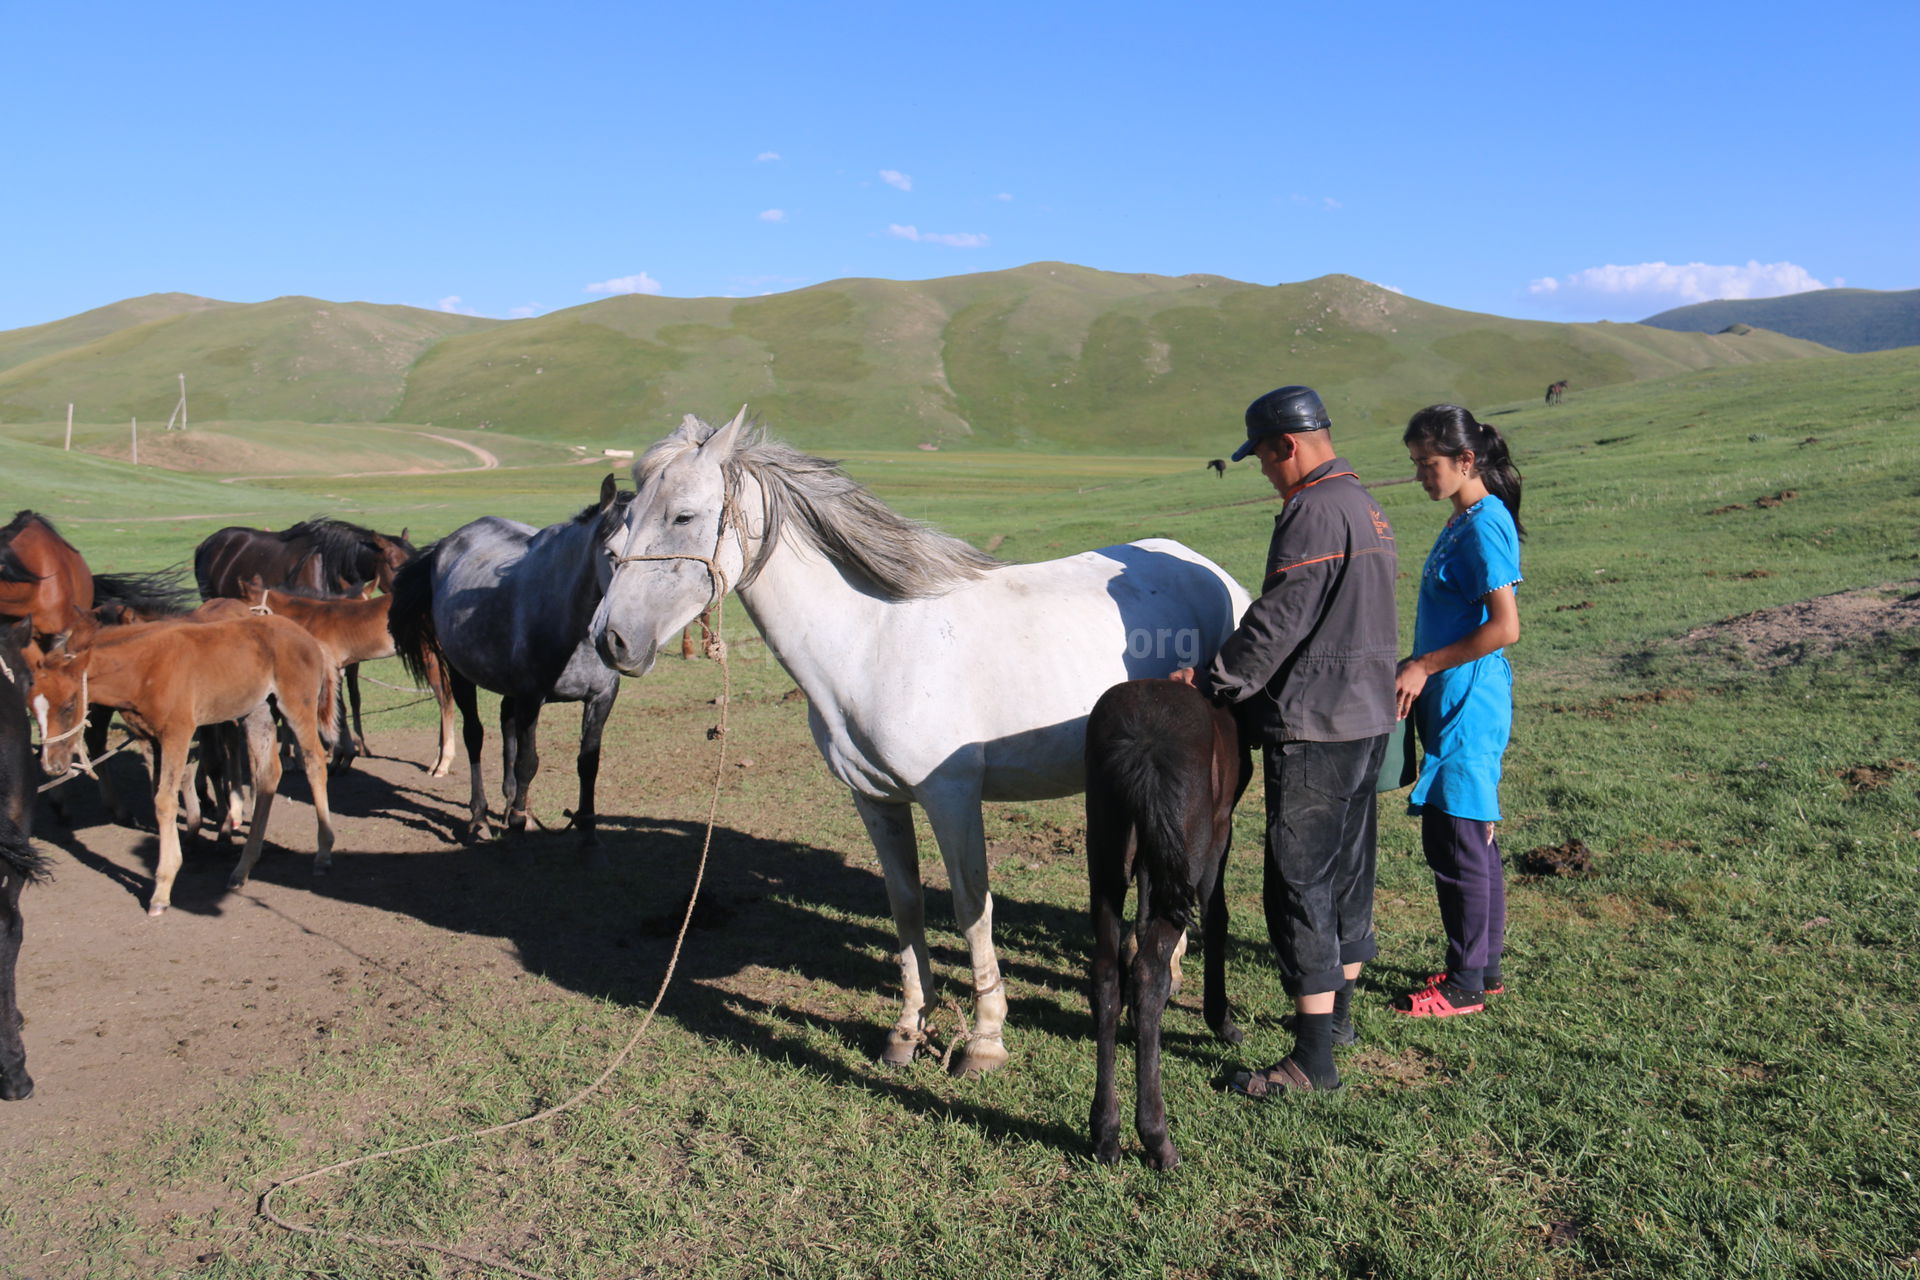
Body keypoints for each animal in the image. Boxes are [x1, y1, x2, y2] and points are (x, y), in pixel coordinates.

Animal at [27, 614, 337, 917]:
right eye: (32, 709)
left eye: (69, 705)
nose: (52, 764)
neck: (144, 669)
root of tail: (310, 639)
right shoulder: (150, 738)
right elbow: (158, 796)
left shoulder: (178, 733)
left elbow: (165, 801)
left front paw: (162, 890)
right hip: (258, 712)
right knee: (268, 775)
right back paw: (243, 868)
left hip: (296, 706)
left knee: (315, 763)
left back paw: (323, 854)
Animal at [385, 470, 625, 852]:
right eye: (613, 553)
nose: (623, 633)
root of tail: (446, 545)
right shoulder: (531, 698)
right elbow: (528, 761)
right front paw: (516, 823)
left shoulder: (601, 698)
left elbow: (588, 763)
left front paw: (587, 831)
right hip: (461, 675)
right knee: (475, 735)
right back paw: (480, 817)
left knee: (505, 724)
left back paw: (510, 803)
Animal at [587, 410, 1244, 1074]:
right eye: (626, 517)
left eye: (683, 516)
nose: (609, 639)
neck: (872, 640)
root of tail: (1210, 571)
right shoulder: (875, 800)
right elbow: (906, 905)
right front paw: (908, 1027)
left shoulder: (951, 798)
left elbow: (971, 908)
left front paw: (985, 1037)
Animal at [1090, 679, 1251, 1174]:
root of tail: (1145, 737)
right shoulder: (1220, 830)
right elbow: (1217, 916)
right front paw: (1222, 1020)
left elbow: (1139, 922)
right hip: (1192, 842)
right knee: (1148, 976)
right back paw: (1156, 1138)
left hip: (1105, 856)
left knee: (1106, 976)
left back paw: (1105, 1132)